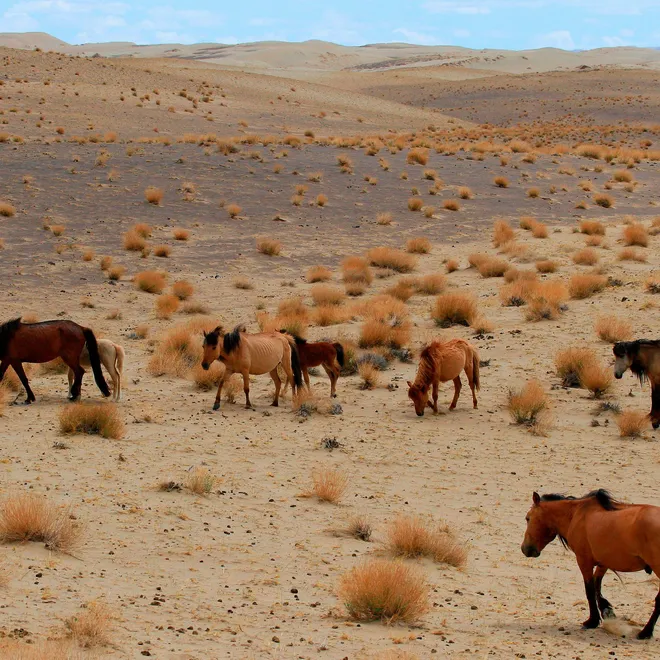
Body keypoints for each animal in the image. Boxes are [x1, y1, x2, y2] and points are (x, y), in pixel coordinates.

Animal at [522, 489, 660, 639]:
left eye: (527, 518)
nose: (525, 549)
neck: (575, 514)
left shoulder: (584, 560)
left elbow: (589, 589)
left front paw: (592, 620)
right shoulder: (604, 561)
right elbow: (596, 585)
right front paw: (607, 611)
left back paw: (646, 632)